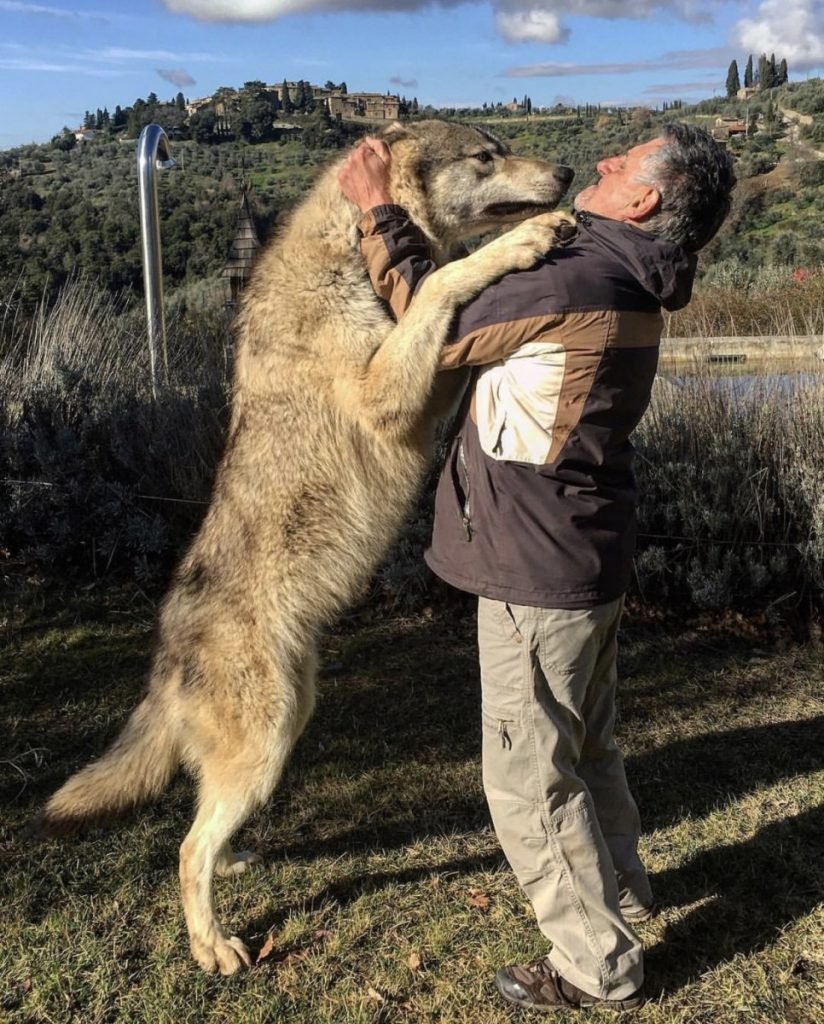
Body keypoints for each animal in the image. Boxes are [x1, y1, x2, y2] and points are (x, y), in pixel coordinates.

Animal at [32, 119, 573, 974]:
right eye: (485, 155)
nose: (568, 172)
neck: (344, 254)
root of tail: (163, 660)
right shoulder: (388, 391)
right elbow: (446, 282)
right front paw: (524, 240)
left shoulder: (421, 400)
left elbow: (452, 312)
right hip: (269, 741)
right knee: (185, 850)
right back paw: (214, 946)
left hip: (284, 728)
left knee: (203, 827)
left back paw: (235, 864)